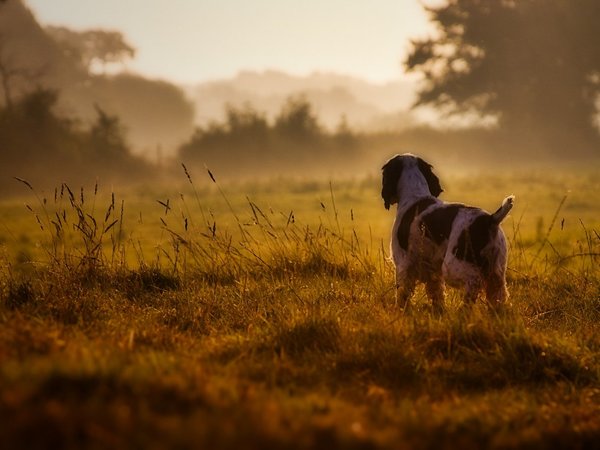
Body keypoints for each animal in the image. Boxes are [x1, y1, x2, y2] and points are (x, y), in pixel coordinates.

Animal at [382, 153, 512, 312]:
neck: (415, 196)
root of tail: (489, 220)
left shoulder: (403, 265)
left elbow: (402, 294)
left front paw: (400, 311)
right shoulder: (432, 270)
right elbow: (436, 293)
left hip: (453, 265)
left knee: (474, 282)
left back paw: (463, 309)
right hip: (496, 271)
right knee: (498, 293)